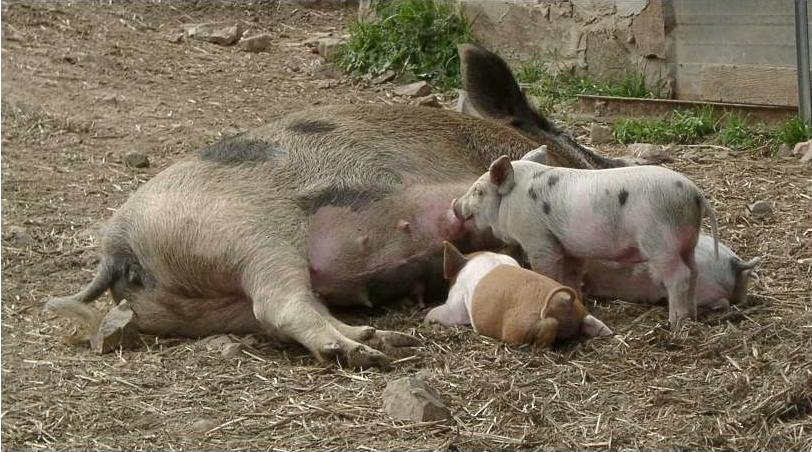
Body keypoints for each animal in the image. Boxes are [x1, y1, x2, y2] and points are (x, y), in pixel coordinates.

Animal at [426, 244, 608, 346]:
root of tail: (565, 299)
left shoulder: (457, 300)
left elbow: (446, 313)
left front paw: (426, 319)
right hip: (582, 312)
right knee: (592, 322)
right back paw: (606, 332)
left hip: (519, 326)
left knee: (547, 326)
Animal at [454, 148, 720, 328]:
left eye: (478, 191)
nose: (455, 204)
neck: (512, 200)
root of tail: (696, 195)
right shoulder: (570, 248)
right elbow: (572, 277)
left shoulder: (538, 239)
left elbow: (546, 271)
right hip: (687, 242)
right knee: (694, 271)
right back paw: (693, 316)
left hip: (661, 241)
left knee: (679, 276)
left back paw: (676, 323)